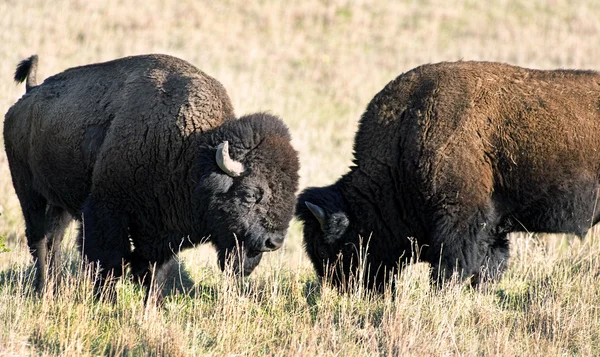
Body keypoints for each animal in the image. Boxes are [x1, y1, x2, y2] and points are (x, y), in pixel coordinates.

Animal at [4, 53, 300, 298]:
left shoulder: (162, 231)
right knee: (38, 239)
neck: (191, 152)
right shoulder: (106, 211)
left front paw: (151, 306)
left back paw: (54, 289)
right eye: (250, 194)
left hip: (60, 203)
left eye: (291, 192)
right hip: (28, 192)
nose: (273, 241)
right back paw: (43, 289)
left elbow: (155, 272)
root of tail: (30, 95)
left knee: (54, 239)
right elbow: (109, 261)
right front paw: (106, 302)